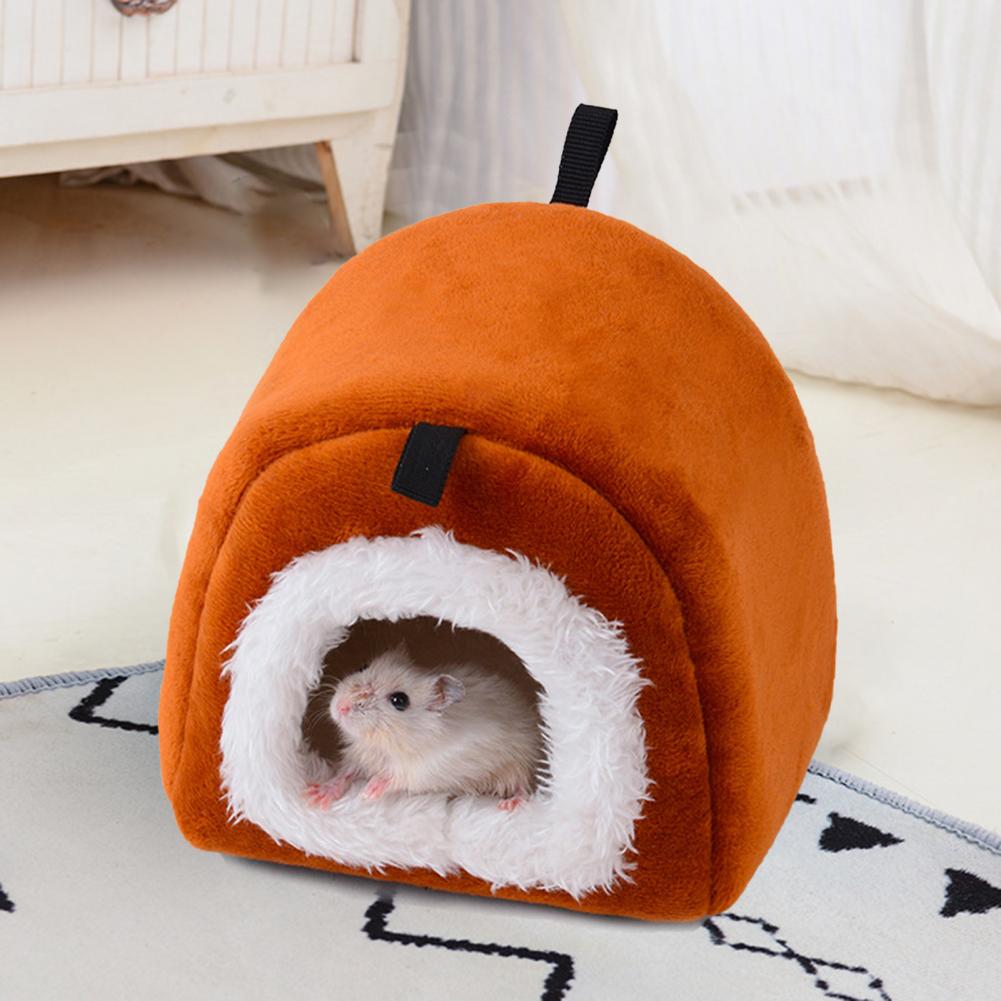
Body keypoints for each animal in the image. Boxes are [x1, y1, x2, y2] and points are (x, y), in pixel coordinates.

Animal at [305, 645, 543, 811]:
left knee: (523, 785)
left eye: (400, 700)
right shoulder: (359, 756)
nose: (340, 707)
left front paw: (368, 792)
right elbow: (344, 774)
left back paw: (510, 805)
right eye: (362, 666)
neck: (384, 744)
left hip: (521, 759)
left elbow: (396, 777)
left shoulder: (428, 768)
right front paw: (314, 796)